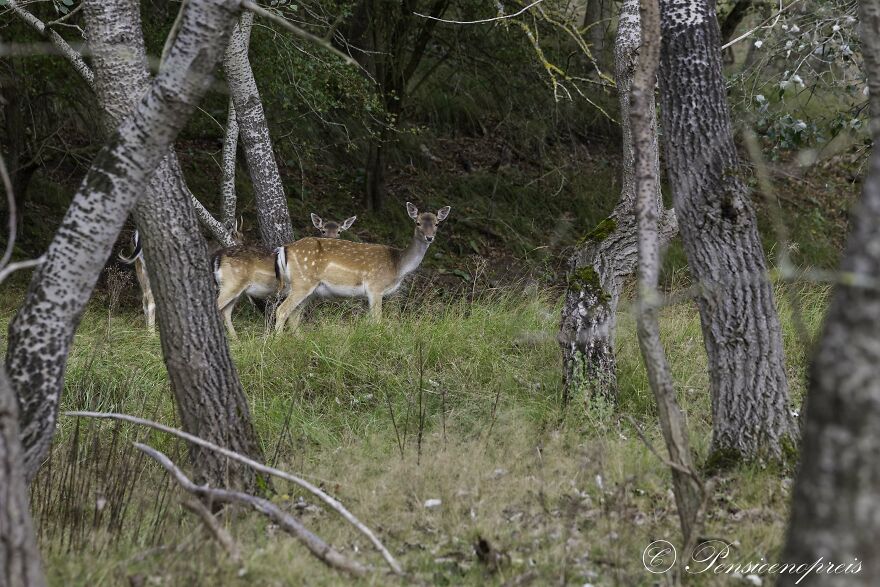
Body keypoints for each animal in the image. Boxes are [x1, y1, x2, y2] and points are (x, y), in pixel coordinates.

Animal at [214, 213, 358, 339]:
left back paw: (236, 339)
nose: (331, 242)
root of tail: (217, 257)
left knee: (226, 312)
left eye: (339, 231)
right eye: (323, 231)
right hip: (233, 284)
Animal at [274, 202, 450, 333]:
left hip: (310, 289)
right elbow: (377, 321)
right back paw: (277, 341)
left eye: (437, 223)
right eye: (418, 222)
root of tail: (284, 248)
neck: (398, 266)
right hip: (302, 282)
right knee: (282, 310)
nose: (429, 237)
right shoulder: (375, 287)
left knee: (294, 315)